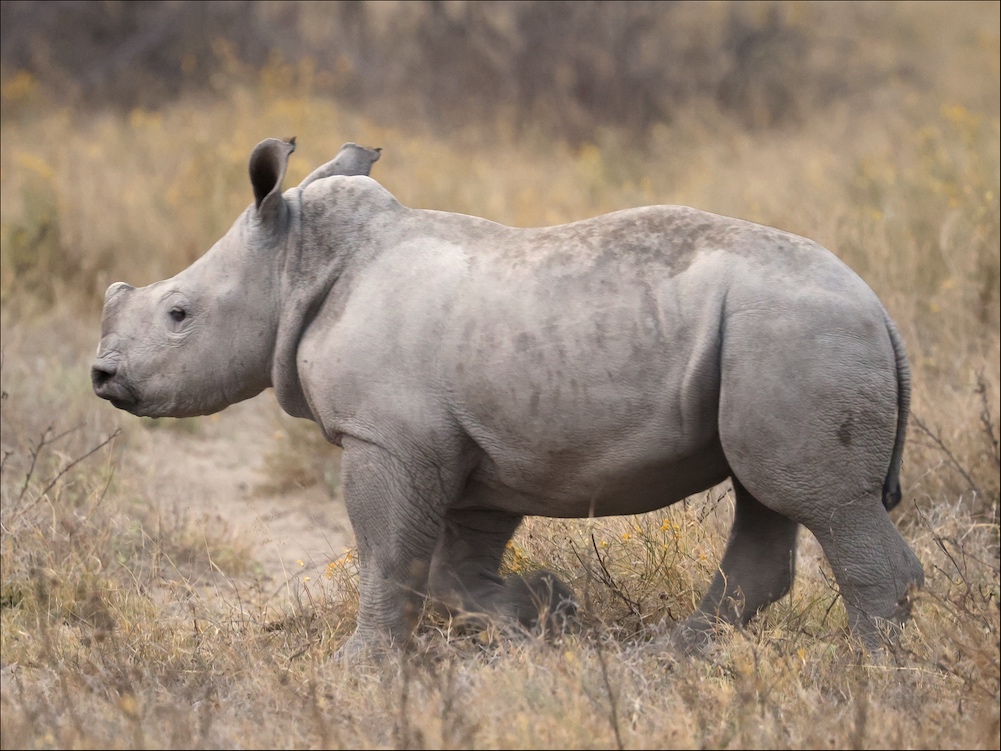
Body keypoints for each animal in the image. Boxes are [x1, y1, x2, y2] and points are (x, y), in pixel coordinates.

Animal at [92, 137, 924, 657]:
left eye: (178, 314)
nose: (102, 376)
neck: (298, 264)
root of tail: (879, 308)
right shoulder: (473, 450)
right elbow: (454, 569)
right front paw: (546, 611)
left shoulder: (386, 439)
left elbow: (387, 553)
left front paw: (359, 665)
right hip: (771, 343)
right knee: (770, 498)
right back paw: (667, 657)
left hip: (795, 334)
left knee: (819, 502)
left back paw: (869, 679)